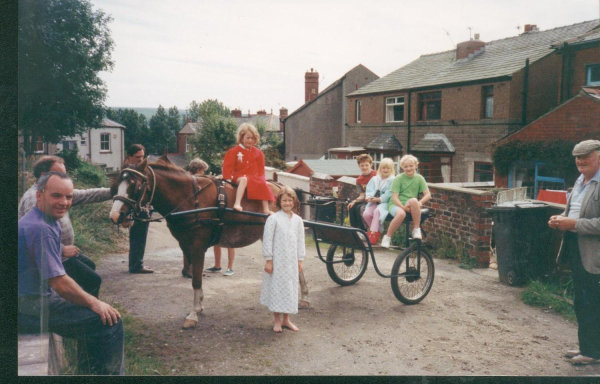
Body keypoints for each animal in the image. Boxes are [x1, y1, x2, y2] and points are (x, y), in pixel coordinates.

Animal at [108, 154, 308, 328]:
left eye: (135, 186)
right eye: (116, 184)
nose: (116, 215)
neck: (191, 199)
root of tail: (284, 188)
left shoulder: (197, 247)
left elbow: (196, 279)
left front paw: (194, 313)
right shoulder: (186, 246)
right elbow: (194, 276)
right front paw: (199, 306)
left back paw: (303, 296)